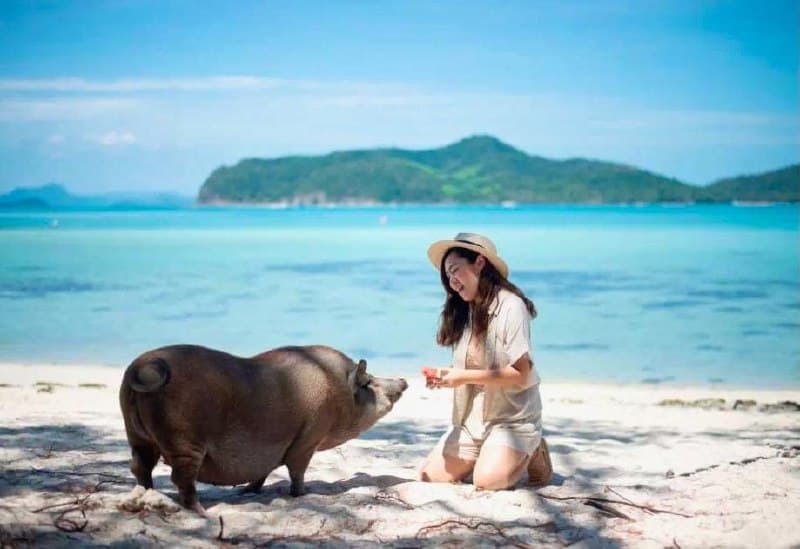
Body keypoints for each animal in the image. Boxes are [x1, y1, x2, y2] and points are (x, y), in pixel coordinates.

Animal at [119, 344, 407, 514]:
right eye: (368, 382)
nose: (403, 380)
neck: (339, 391)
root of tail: (141, 366)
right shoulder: (308, 437)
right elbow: (297, 469)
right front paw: (302, 495)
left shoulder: (275, 449)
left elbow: (263, 471)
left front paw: (247, 491)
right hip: (183, 439)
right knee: (180, 478)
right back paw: (202, 513)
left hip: (137, 436)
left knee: (139, 467)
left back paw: (145, 495)